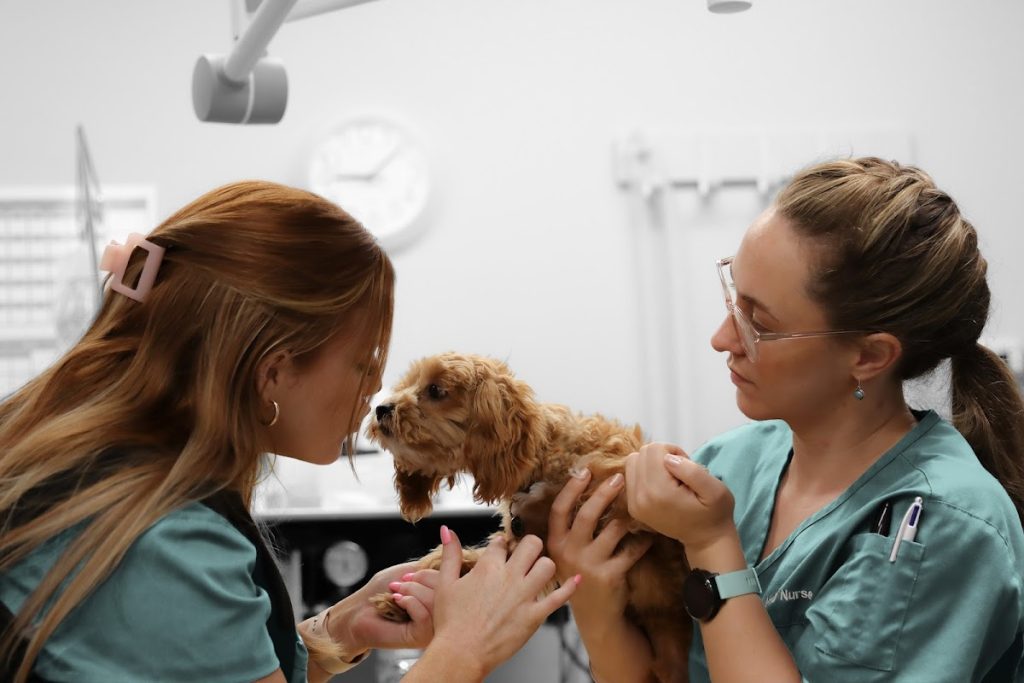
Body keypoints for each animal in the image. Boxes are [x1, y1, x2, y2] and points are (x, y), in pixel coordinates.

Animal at [366, 352, 691, 683]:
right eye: (408, 384)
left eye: (435, 390)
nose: (381, 409)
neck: (544, 457)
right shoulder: (520, 546)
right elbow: (468, 558)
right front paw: (398, 599)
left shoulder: (621, 484)